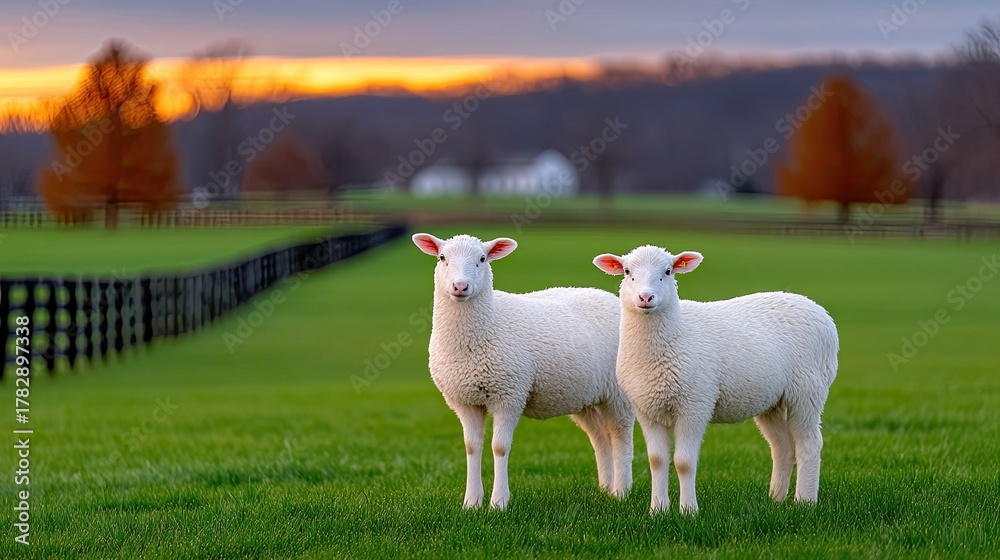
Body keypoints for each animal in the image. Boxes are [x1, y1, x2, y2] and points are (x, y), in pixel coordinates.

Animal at [412, 232, 635, 510]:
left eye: (482, 259)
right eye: (442, 258)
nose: (460, 287)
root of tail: (608, 297)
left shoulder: (509, 394)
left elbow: (499, 448)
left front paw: (498, 503)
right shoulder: (464, 400)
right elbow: (472, 447)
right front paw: (471, 503)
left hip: (618, 392)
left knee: (621, 435)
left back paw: (621, 491)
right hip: (585, 395)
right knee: (601, 437)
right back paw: (606, 489)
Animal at [593, 245, 838, 514]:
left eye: (668, 271)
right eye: (627, 272)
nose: (646, 297)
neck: (674, 335)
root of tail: (819, 311)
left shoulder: (694, 404)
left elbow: (684, 462)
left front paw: (688, 510)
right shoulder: (647, 408)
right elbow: (657, 461)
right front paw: (658, 510)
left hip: (807, 391)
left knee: (809, 444)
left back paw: (805, 501)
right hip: (772, 400)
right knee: (782, 446)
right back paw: (776, 499)